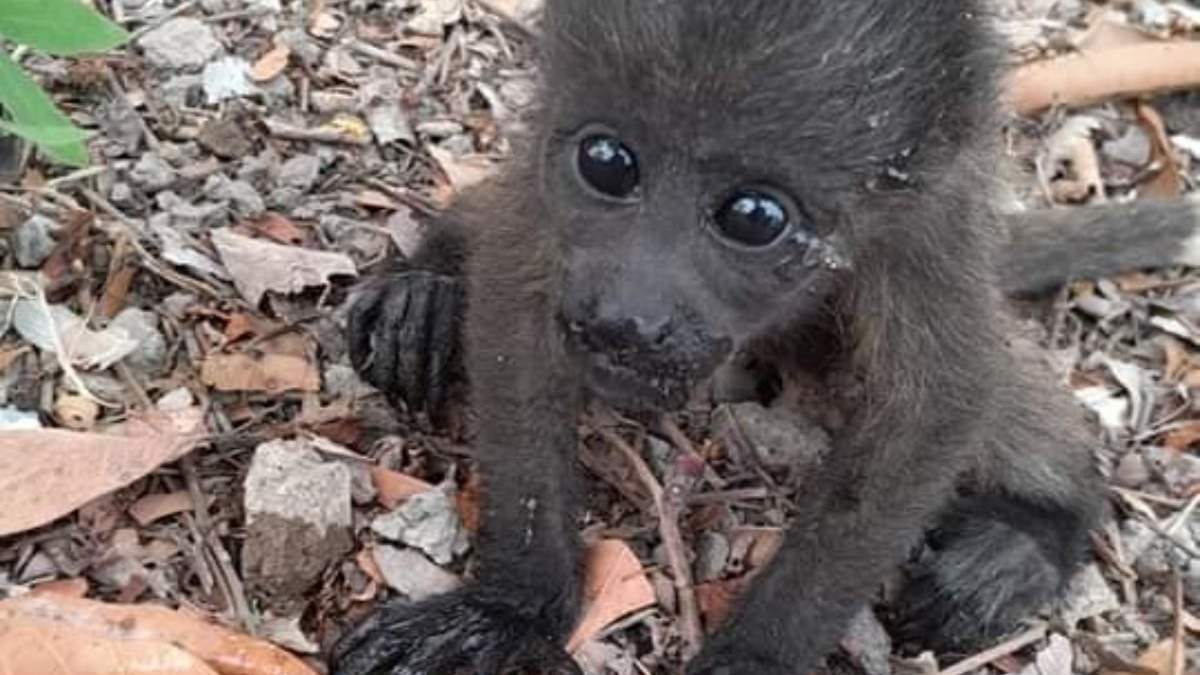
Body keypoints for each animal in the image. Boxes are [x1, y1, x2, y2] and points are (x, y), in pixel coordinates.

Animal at [330, 2, 1133, 673]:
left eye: (754, 216)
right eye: (607, 162)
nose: (627, 317)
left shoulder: (932, 217)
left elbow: (935, 400)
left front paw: (757, 656)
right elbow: (515, 291)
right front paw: (510, 607)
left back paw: (1031, 535)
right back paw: (424, 293)